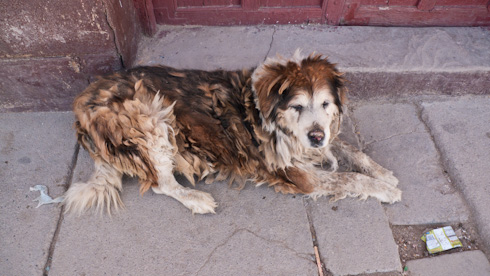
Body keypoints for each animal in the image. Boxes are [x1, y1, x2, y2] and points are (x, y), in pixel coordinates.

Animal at [64, 51, 402, 216]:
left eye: (325, 103)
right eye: (297, 106)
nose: (316, 136)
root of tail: (81, 106)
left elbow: (348, 149)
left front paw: (381, 172)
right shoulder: (301, 175)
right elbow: (349, 178)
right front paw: (385, 189)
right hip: (151, 115)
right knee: (161, 184)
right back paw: (196, 200)